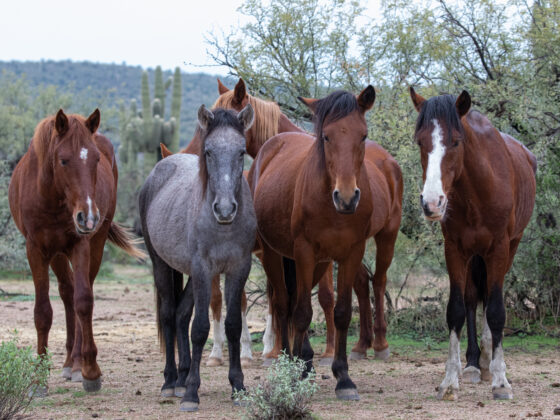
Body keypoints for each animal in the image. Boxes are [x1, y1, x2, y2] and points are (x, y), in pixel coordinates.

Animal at [8, 108, 144, 394]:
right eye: (63, 160)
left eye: (95, 159)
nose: (88, 216)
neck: (51, 197)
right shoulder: (36, 250)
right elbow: (42, 312)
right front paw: (38, 379)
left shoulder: (79, 245)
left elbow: (84, 301)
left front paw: (91, 371)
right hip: (57, 255)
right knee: (66, 292)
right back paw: (70, 361)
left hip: (95, 244)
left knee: (80, 291)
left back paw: (78, 363)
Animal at [139, 103, 258, 412]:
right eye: (208, 152)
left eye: (241, 151)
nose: (225, 209)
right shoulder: (204, 269)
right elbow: (201, 328)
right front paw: (192, 393)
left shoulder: (238, 268)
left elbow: (232, 325)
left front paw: (238, 386)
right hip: (161, 264)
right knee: (169, 314)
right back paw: (171, 382)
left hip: (192, 275)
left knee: (181, 314)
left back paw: (181, 378)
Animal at [249, 86, 402, 400]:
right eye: (326, 136)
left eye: (363, 135)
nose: (346, 197)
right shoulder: (304, 252)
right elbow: (302, 313)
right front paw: (294, 374)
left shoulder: (350, 252)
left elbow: (341, 312)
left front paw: (343, 377)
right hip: (274, 254)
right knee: (284, 305)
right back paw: (288, 361)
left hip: (327, 259)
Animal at [410, 88, 536, 400]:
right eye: (420, 142)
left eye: (456, 141)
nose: (432, 203)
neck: (478, 188)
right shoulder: (454, 250)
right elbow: (456, 309)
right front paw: (449, 380)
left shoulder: (499, 249)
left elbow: (496, 311)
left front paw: (501, 381)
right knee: (470, 300)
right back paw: (472, 364)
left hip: (507, 250)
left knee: (490, 300)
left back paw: (489, 361)